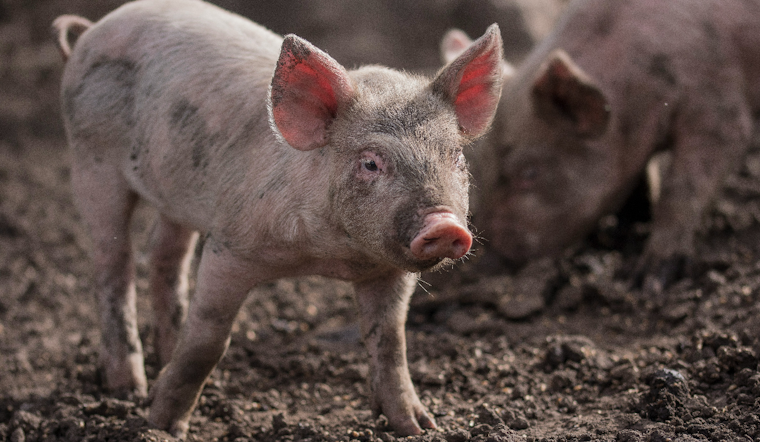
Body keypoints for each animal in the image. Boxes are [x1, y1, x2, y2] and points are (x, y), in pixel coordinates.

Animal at [54, 0, 503, 437]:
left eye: (456, 157)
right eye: (371, 162)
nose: (444, 224)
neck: (328, 256)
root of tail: (92, 30)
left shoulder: (388, 271)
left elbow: (391, 343)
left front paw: (418, 427)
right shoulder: (230, 244)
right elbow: (208, 341)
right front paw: (162, 426)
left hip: (174, 191)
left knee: (165, 256)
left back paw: (161, 359)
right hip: (90, 160)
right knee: (114, 266)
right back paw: (127, 388)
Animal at [441, 0, 760, 292]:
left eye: (529, 173)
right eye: (481, 167)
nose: (485, 265)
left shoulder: (715, 106)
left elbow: (684, 187)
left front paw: (643, 283)